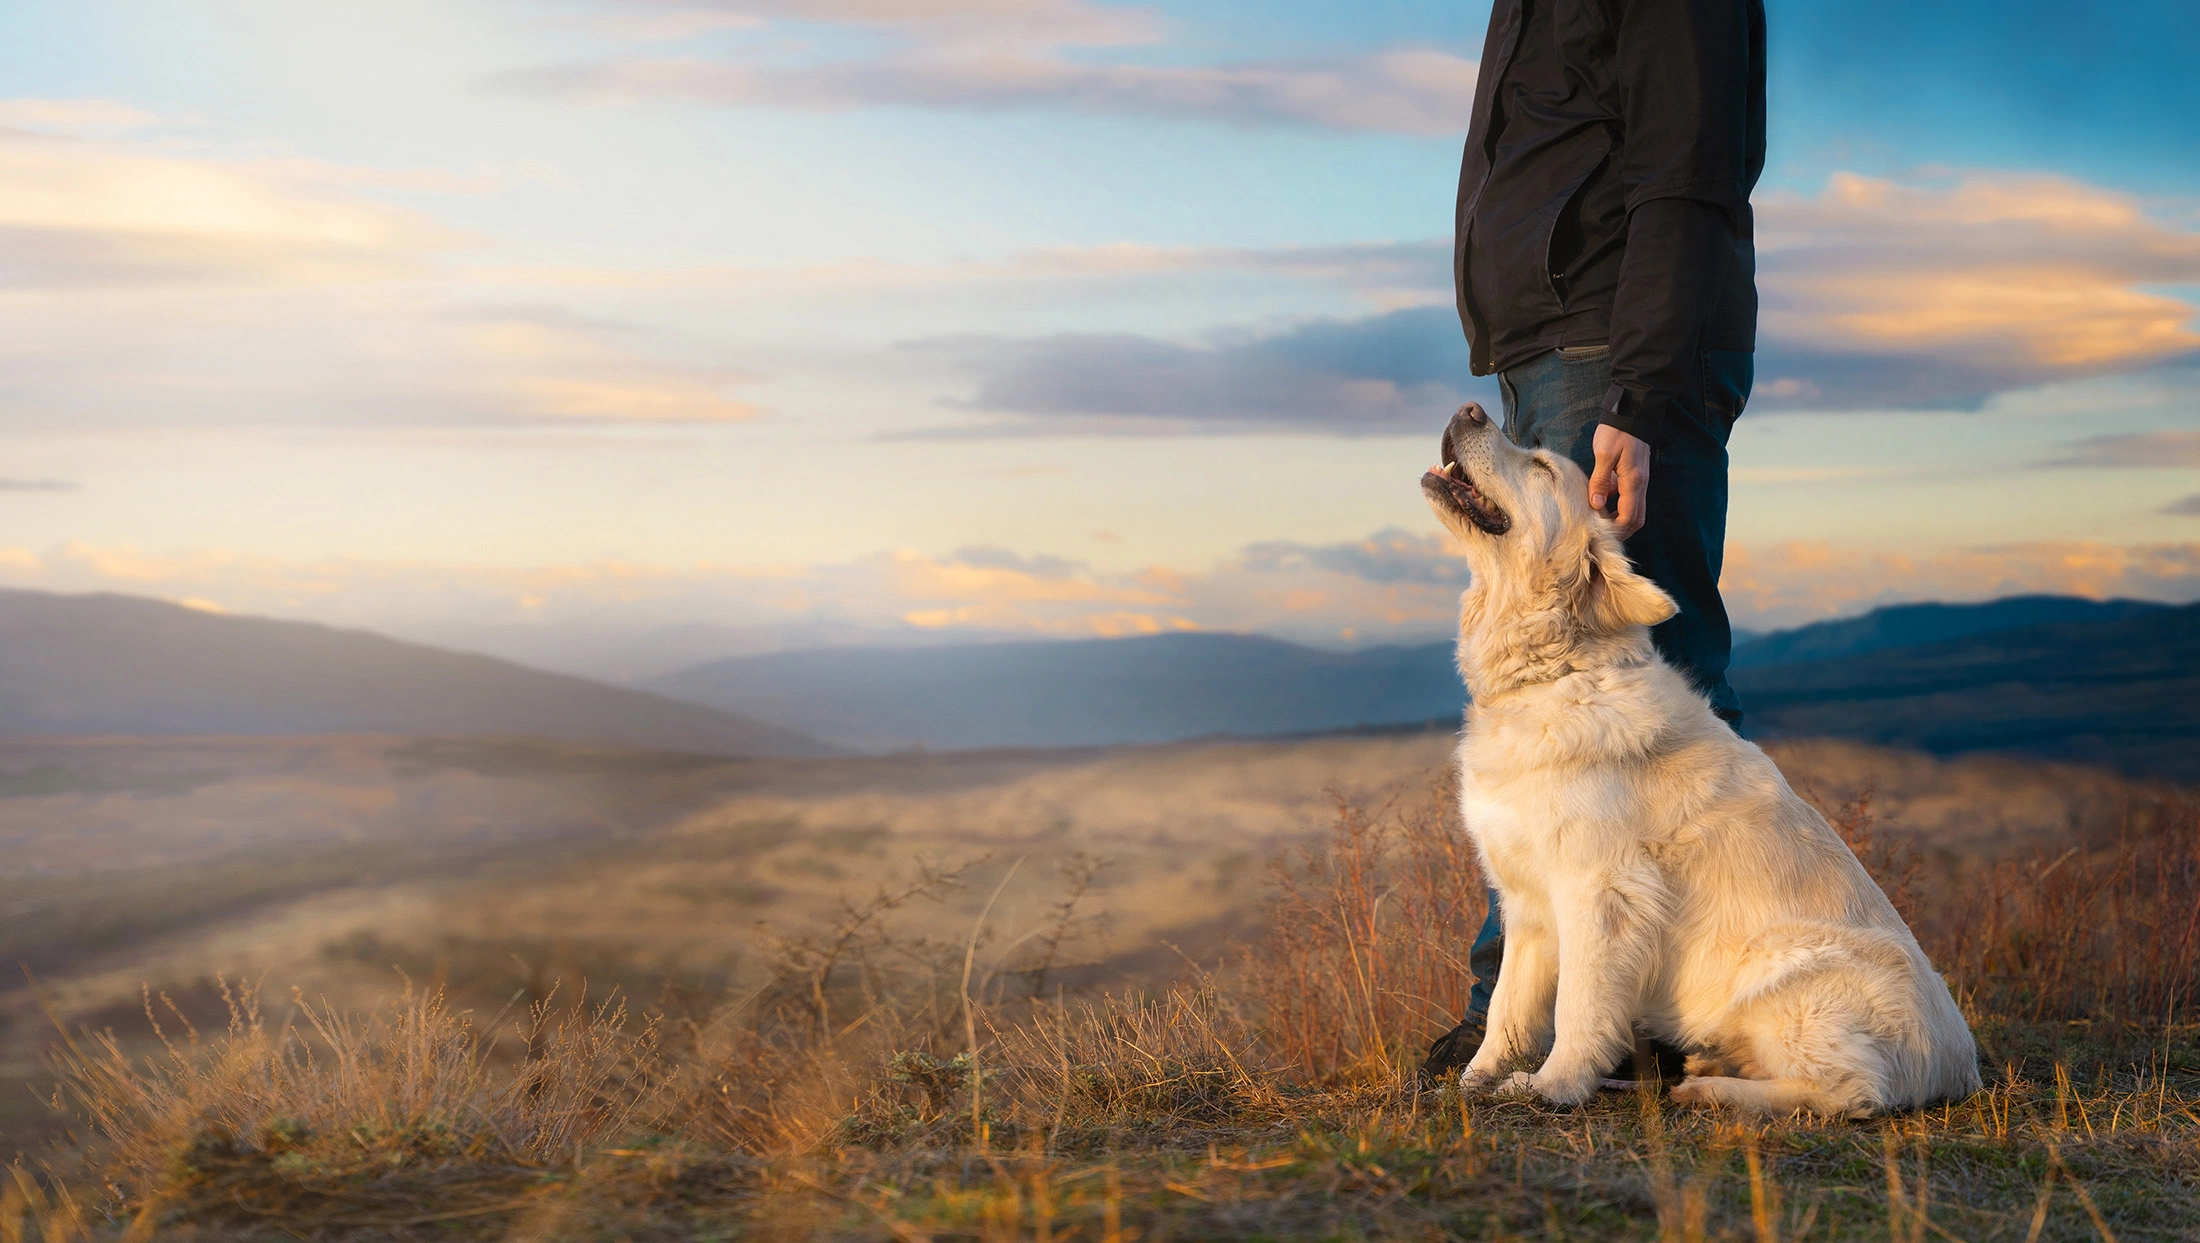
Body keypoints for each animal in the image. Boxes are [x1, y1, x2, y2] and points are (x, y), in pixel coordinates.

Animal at [1425, 404, 1980, 1113]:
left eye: (1543, 467)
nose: (1470, 410)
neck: (1551, 673)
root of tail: (1963, 1069)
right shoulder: (1526, 902)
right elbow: (1506, 1007)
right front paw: (1475, 1079)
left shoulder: (1604, 893)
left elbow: (1579, 1007)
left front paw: (1555, 1085)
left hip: (1787, 976)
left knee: (1849, 1091)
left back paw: (1709, 1089)